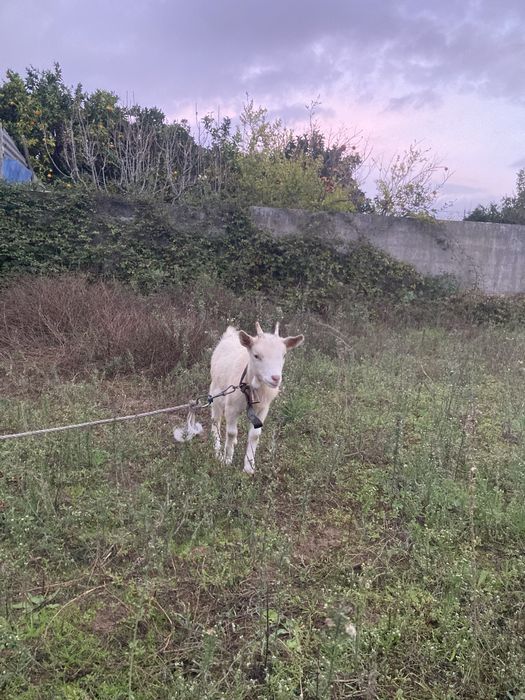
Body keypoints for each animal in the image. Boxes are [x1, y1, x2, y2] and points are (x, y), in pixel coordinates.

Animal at [210, 322, 304, 473]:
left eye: (284, 355)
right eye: (256, 355)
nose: (275, 378)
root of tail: (230, 334)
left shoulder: (262, 408)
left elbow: (255, 435)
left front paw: (249, 467)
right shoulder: (231, 407)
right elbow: (231, 432)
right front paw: (227, 460)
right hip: (216, 393)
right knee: (216, 420)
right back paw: (217, 449)